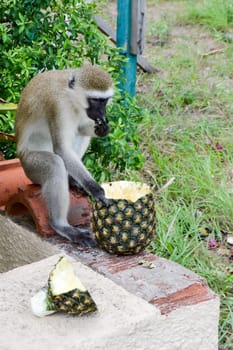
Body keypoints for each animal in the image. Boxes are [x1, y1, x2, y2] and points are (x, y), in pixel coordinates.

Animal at [14, 65, 114, 246]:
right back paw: (61, 225)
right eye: (95, 100)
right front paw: (96, 189)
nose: (102, 111)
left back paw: (71, 179)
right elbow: (62, 149)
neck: (71, 96)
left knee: (80, 134)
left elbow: (82, 129)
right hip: (29, 166)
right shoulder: (59, 106)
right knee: (55, 164)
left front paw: (103, 129)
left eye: (104, 101)